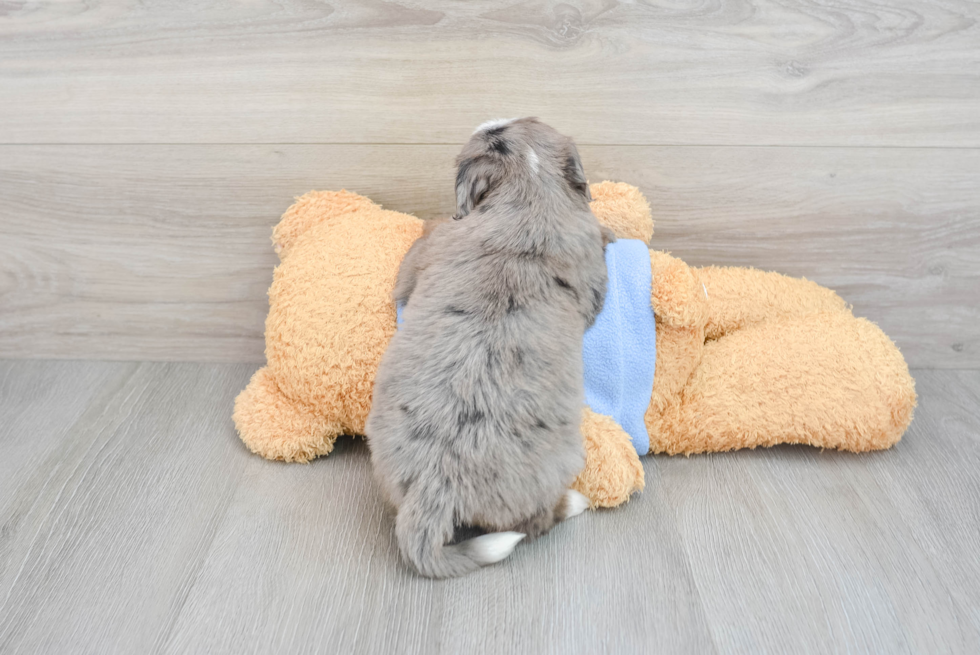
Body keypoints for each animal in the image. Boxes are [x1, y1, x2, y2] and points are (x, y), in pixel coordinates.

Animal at [368, 118, 612, 580]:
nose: (485, 123)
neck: (529, 190)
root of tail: (434, 489)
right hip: (562, 464)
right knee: (536, 523)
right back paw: (575, 502)